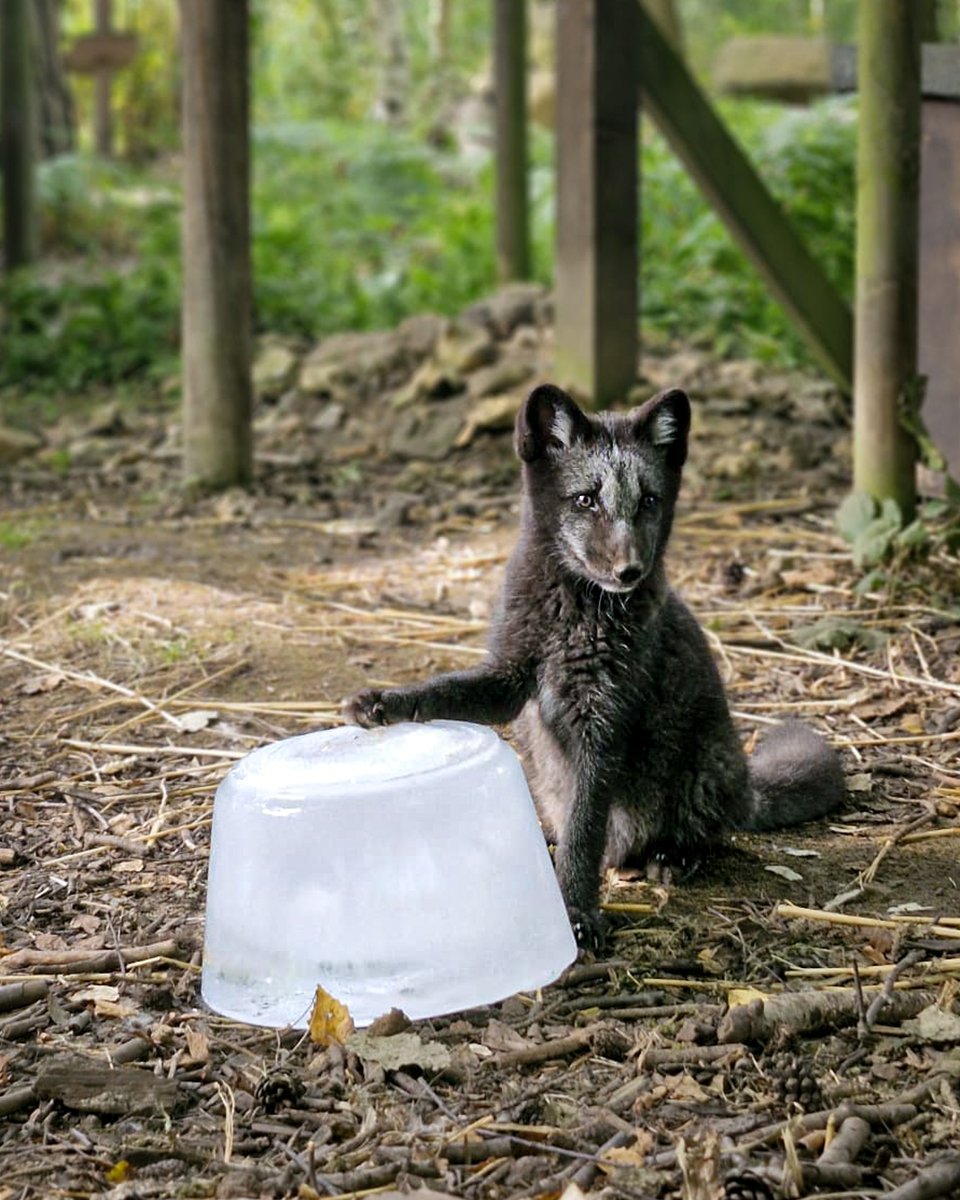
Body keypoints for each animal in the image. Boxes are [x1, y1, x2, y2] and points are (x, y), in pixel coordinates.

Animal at [344, 384, 846, 946]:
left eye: (648, 501)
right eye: (586, 499)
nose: (629, 571)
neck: (575, 612)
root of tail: (746, 783)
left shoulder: (603, 721)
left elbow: (585, 832)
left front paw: (575, 911)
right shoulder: (509, 674)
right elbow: (443, 689)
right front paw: (384, 702)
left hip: (700, 775)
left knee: (703, 831)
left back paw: (673, 856)